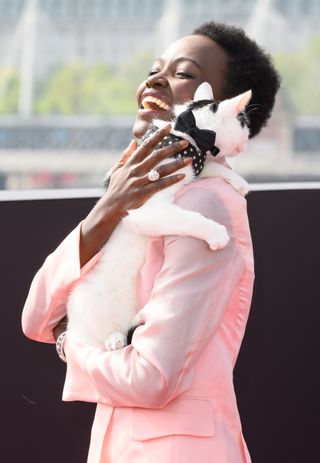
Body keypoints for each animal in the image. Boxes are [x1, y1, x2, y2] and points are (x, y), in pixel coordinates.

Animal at [67, 84, 251, 352]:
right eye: (244, 124)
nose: (247, 140)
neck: (187, 136)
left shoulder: (193, 166)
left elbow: (210, 168)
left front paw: (238, 181)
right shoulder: (148, 210)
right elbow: (189, 218)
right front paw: (216, 233)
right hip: (85, 303)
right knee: (95, 336)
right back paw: (113, 339)